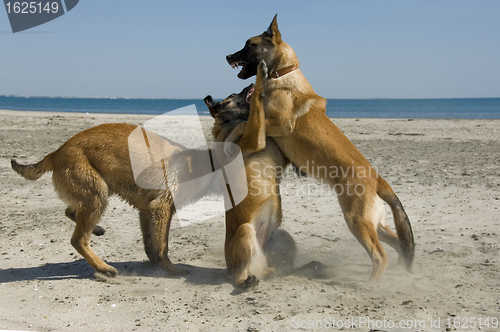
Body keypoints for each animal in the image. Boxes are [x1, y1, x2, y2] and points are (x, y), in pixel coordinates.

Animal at [227, 14, 414, 282]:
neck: (283, 75)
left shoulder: (277, 124)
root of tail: (378, 179)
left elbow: (245, 124)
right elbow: (246, 122)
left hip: (357, 221)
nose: (227, 56)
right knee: (397, 243)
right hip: (373, 224)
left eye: (249, 45)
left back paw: (371, 284)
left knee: (380, 255)